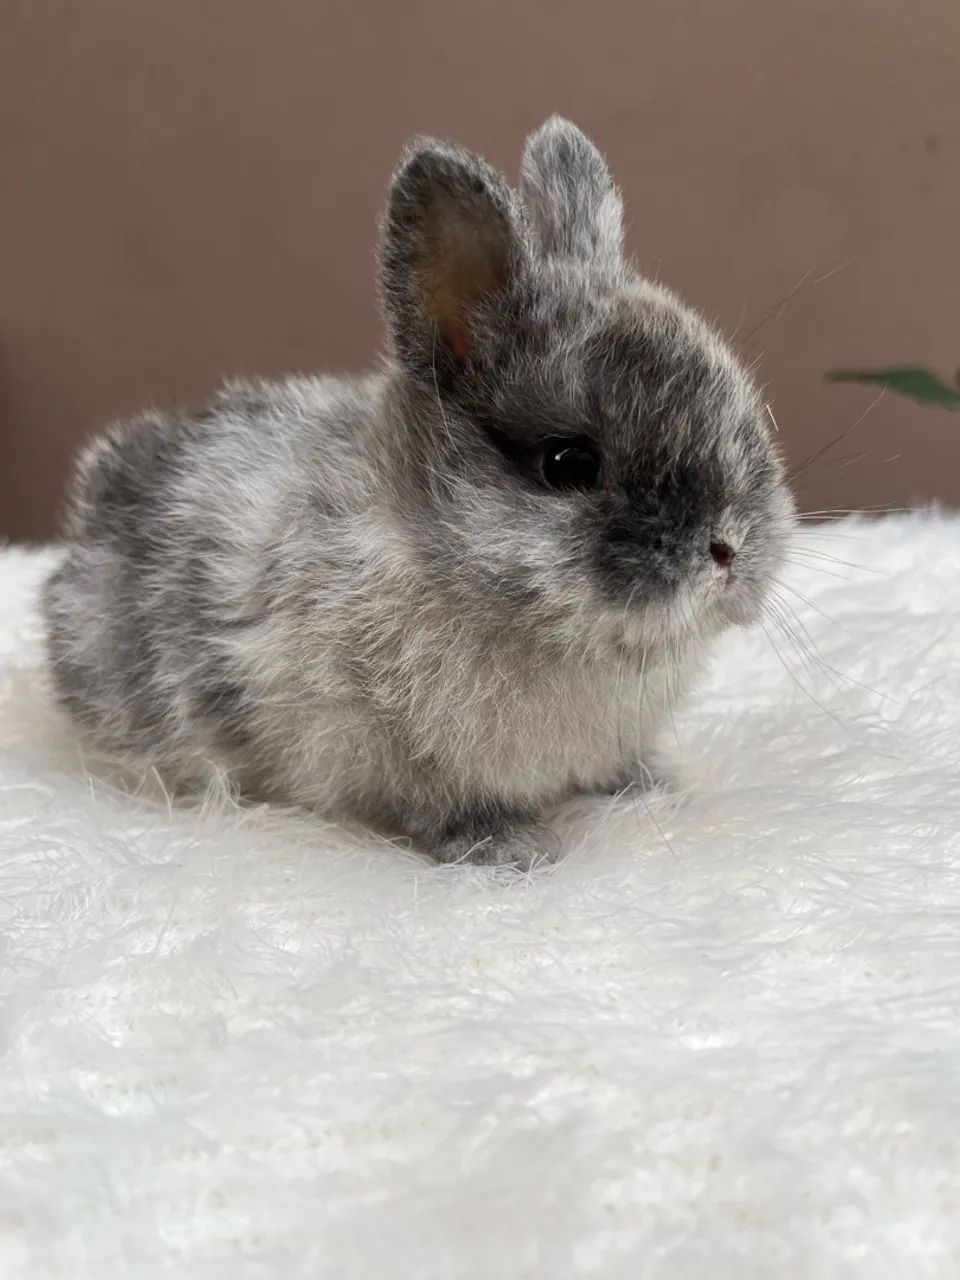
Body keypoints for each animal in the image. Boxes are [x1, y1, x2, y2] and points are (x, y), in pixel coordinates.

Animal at [42, 116, 794, 869]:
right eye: (569, 463)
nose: (728, 548)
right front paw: (513, 849)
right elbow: (447, 805)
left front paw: (653, 789)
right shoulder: (394, 751)